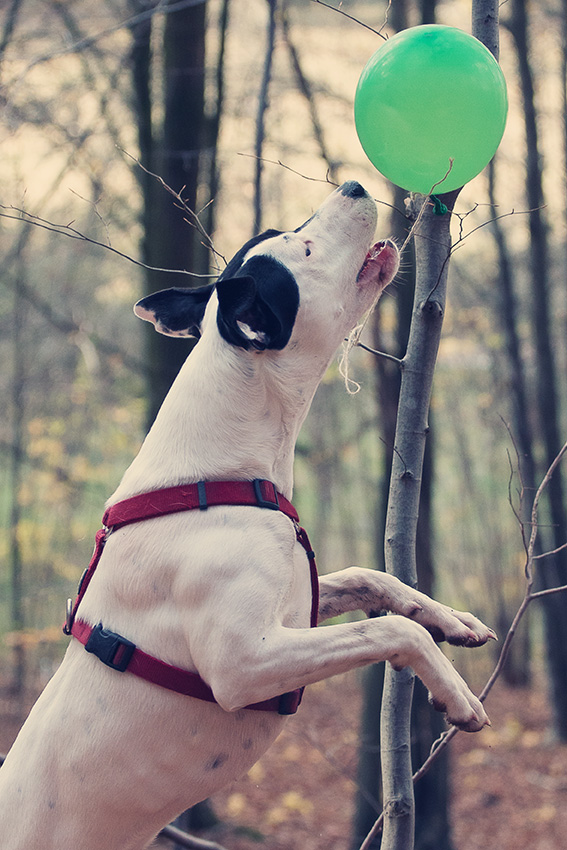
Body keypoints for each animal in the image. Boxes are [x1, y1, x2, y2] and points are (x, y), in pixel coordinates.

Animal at [0, 181, 492, 848]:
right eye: (305, 249)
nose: (354, 185)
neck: (223, 469)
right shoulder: (246, 663)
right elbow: (388, 630)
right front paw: (454, 691)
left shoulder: (298, 606)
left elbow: (375, 579)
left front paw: (451, 620)